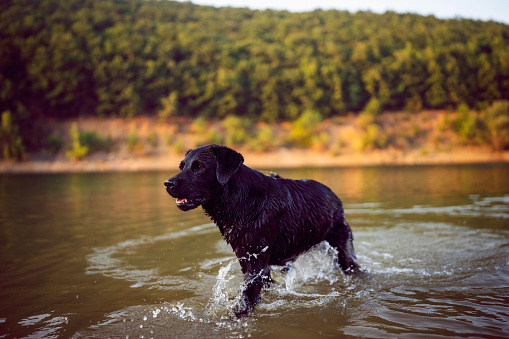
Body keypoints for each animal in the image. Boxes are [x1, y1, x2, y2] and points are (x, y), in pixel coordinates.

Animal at [164, 145, 358, 318]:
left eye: (200, 167)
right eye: (181, 166)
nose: (167, 183)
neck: (239, 202)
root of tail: (333, 195)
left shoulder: (257, 265)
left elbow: (245, 300)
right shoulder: (246, 260)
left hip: (344, 250)